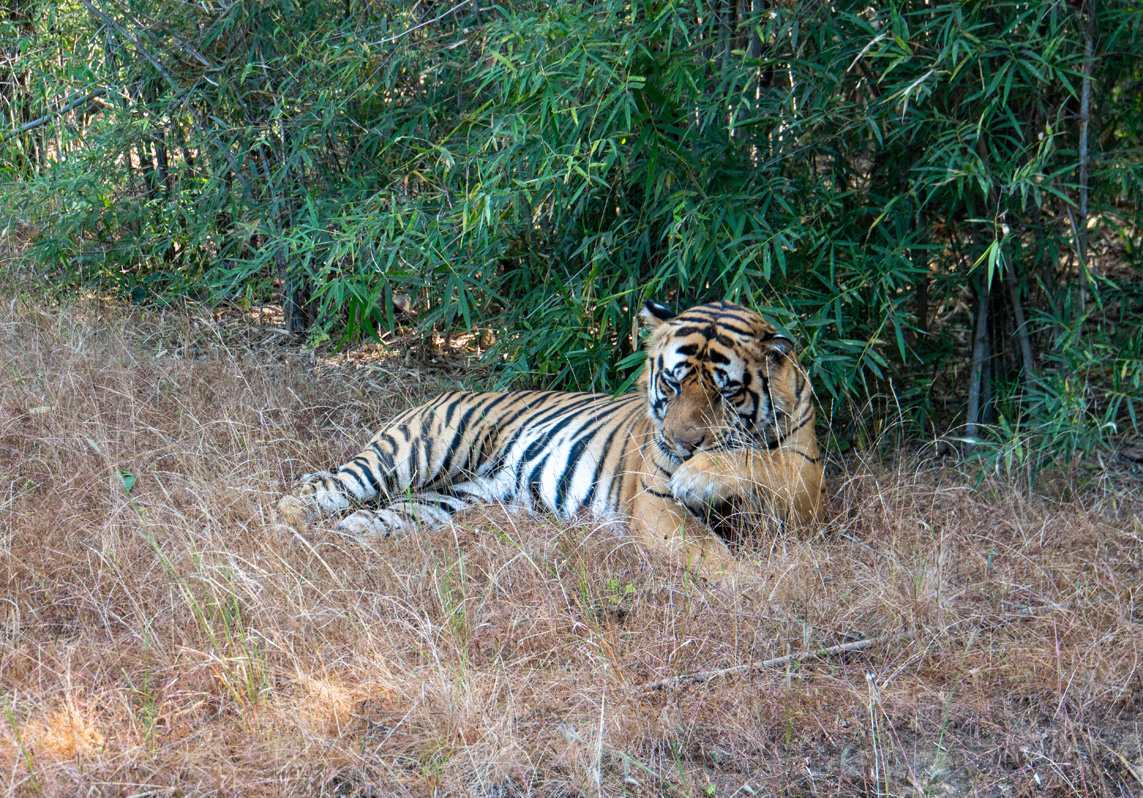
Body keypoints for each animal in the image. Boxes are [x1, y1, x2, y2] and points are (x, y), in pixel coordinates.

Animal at [276, 299, 825, 575]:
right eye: (671, 383)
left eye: (724, 391)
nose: (683, 444)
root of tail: (434, 395)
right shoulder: (655, 503)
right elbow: (709, 552)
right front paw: (748, 587)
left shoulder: (807, 487)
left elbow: (762, 465)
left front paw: (705, 476)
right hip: (412, 453)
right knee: (316, 491)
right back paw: (286, 532)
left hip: (438, 502)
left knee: (357, 522)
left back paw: (334, 545)